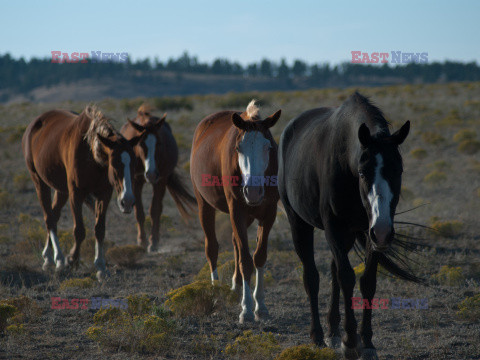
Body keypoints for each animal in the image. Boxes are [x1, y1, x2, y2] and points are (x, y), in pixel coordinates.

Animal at [22, 105, 142, 280]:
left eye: (134, 164)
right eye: (114, 164)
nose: (127, 201)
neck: (91, 153)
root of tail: (33, 125)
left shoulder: (104, 194)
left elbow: (100, 229)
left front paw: (101, 267)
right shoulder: (76, 194)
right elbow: (79, 230)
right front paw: (72, 260)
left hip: (61, 190)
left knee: (54, 215)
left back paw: (48, 257)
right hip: (39, 181)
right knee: (49, 218)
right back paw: (58, 260)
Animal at [121, 102, 196, 252]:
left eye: (159, 143)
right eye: (141, 144)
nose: (151, 174)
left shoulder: (160, 181)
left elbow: (155, 210)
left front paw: (153, 242)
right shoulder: (136, 181)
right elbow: (139, 211)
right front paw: (142, 241)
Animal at [190, 100, 282, 322]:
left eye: (268, 147)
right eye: (238, 148)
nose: (253, 191)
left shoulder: (268, 213)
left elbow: (259, 257)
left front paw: (260, 306)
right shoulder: (237, 211)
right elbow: (246, 261)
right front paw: (247, 309)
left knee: (235, 243)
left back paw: (236, 286)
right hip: (204, 205)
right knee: (212, 248)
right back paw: (216, 293)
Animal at [280, 93, 418, 360]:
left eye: (399, 170)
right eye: (363, 173)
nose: (384, 231)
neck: (346, 160)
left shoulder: (369, 232)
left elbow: (367, 281)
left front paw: (367, 342)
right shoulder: (335, 228)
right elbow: (346, 278)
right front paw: (351, 341)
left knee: (334, 269)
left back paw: (333, 331)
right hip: (299, 223)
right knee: (312, 276)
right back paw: (318, 336)